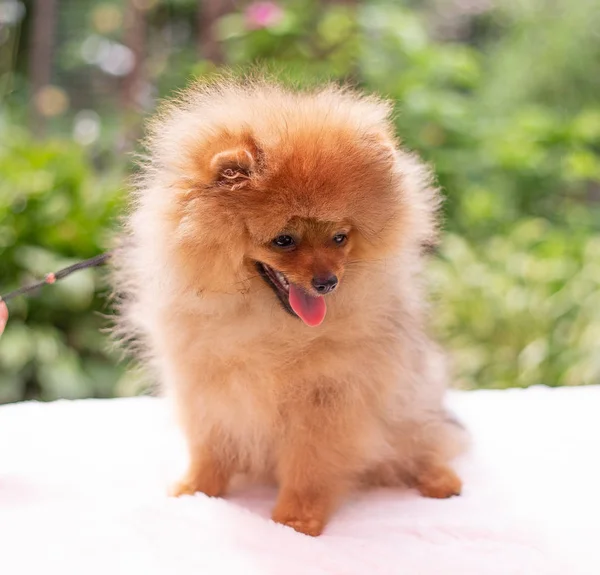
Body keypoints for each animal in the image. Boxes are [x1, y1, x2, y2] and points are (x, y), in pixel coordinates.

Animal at [113, 75, 468, 536]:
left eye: (340, 237)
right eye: (284, 240)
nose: (327, 282)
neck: (267, 324)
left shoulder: (327, 399)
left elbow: (309, 466)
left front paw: (296, 521)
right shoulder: (207, 387)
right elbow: (209, 447)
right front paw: (196, 490)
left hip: (411, 405)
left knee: (426, 444)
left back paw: (440, 480)